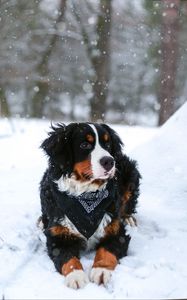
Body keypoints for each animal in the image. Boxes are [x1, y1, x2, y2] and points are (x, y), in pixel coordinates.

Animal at [40, 122, 141, 288]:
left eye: (107, 144)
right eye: (84, 144)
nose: (109, 161)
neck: (86, 195)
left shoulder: (116, 231)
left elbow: (107, 251)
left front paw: (101, 270)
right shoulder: (57, 236)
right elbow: (67, 257)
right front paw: (76, 275)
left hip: (129, 171)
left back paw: (129, 218)